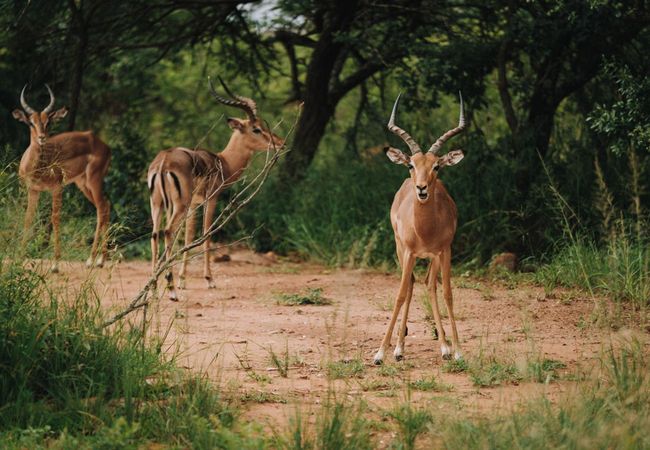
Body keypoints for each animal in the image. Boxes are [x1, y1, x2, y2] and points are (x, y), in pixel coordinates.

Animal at [12, 86, 111, 272]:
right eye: (31, 122)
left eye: (48, 122)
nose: (42, 137)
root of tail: (104, 145)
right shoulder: (33, 190)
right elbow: (28, 218)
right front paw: (19, 259)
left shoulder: (57, 187)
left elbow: (55, 218)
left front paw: (55, 264)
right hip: (82, 183)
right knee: (105, 206)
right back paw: (101, 259)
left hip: (94, 180)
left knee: (102, 207)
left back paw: (92, 259)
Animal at [151, 78, 284, 298]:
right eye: (256, 128)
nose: (280, 143)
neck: (223, 162)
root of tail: (163, 162)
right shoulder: (210, 200)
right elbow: (207, 234)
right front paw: (209, 279)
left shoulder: (193, 206)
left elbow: (188, 238)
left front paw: (183, 280)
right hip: (177, 205)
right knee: (167, 231)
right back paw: (170, 290)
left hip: (158, 204)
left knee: (155, 234)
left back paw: (153, 288)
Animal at [372, 92, 464, 366]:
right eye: (411, 164)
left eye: (437, 166)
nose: (422, 188)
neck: (425, 231)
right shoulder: (410, 252)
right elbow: (401, 294)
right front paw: (380, 353)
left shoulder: (445, 251)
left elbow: (447, 294)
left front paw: (456, 350)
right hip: (400, 250)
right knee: (411, 284)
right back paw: (399, 348)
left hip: (432, 258)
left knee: (429, 285)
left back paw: (442, 347)